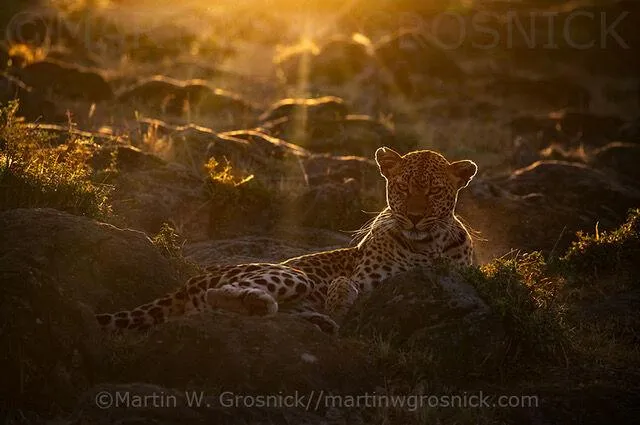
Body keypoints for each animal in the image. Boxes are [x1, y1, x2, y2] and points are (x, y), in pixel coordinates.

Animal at [96, 147, 478, 334]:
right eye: (401, 187)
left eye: (434, 191)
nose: (414, 217)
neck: (427, 245)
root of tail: (191, 279)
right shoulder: (363, 277)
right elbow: (345, 283)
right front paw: (339, 300)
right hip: (290, 274)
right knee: (217, 297)